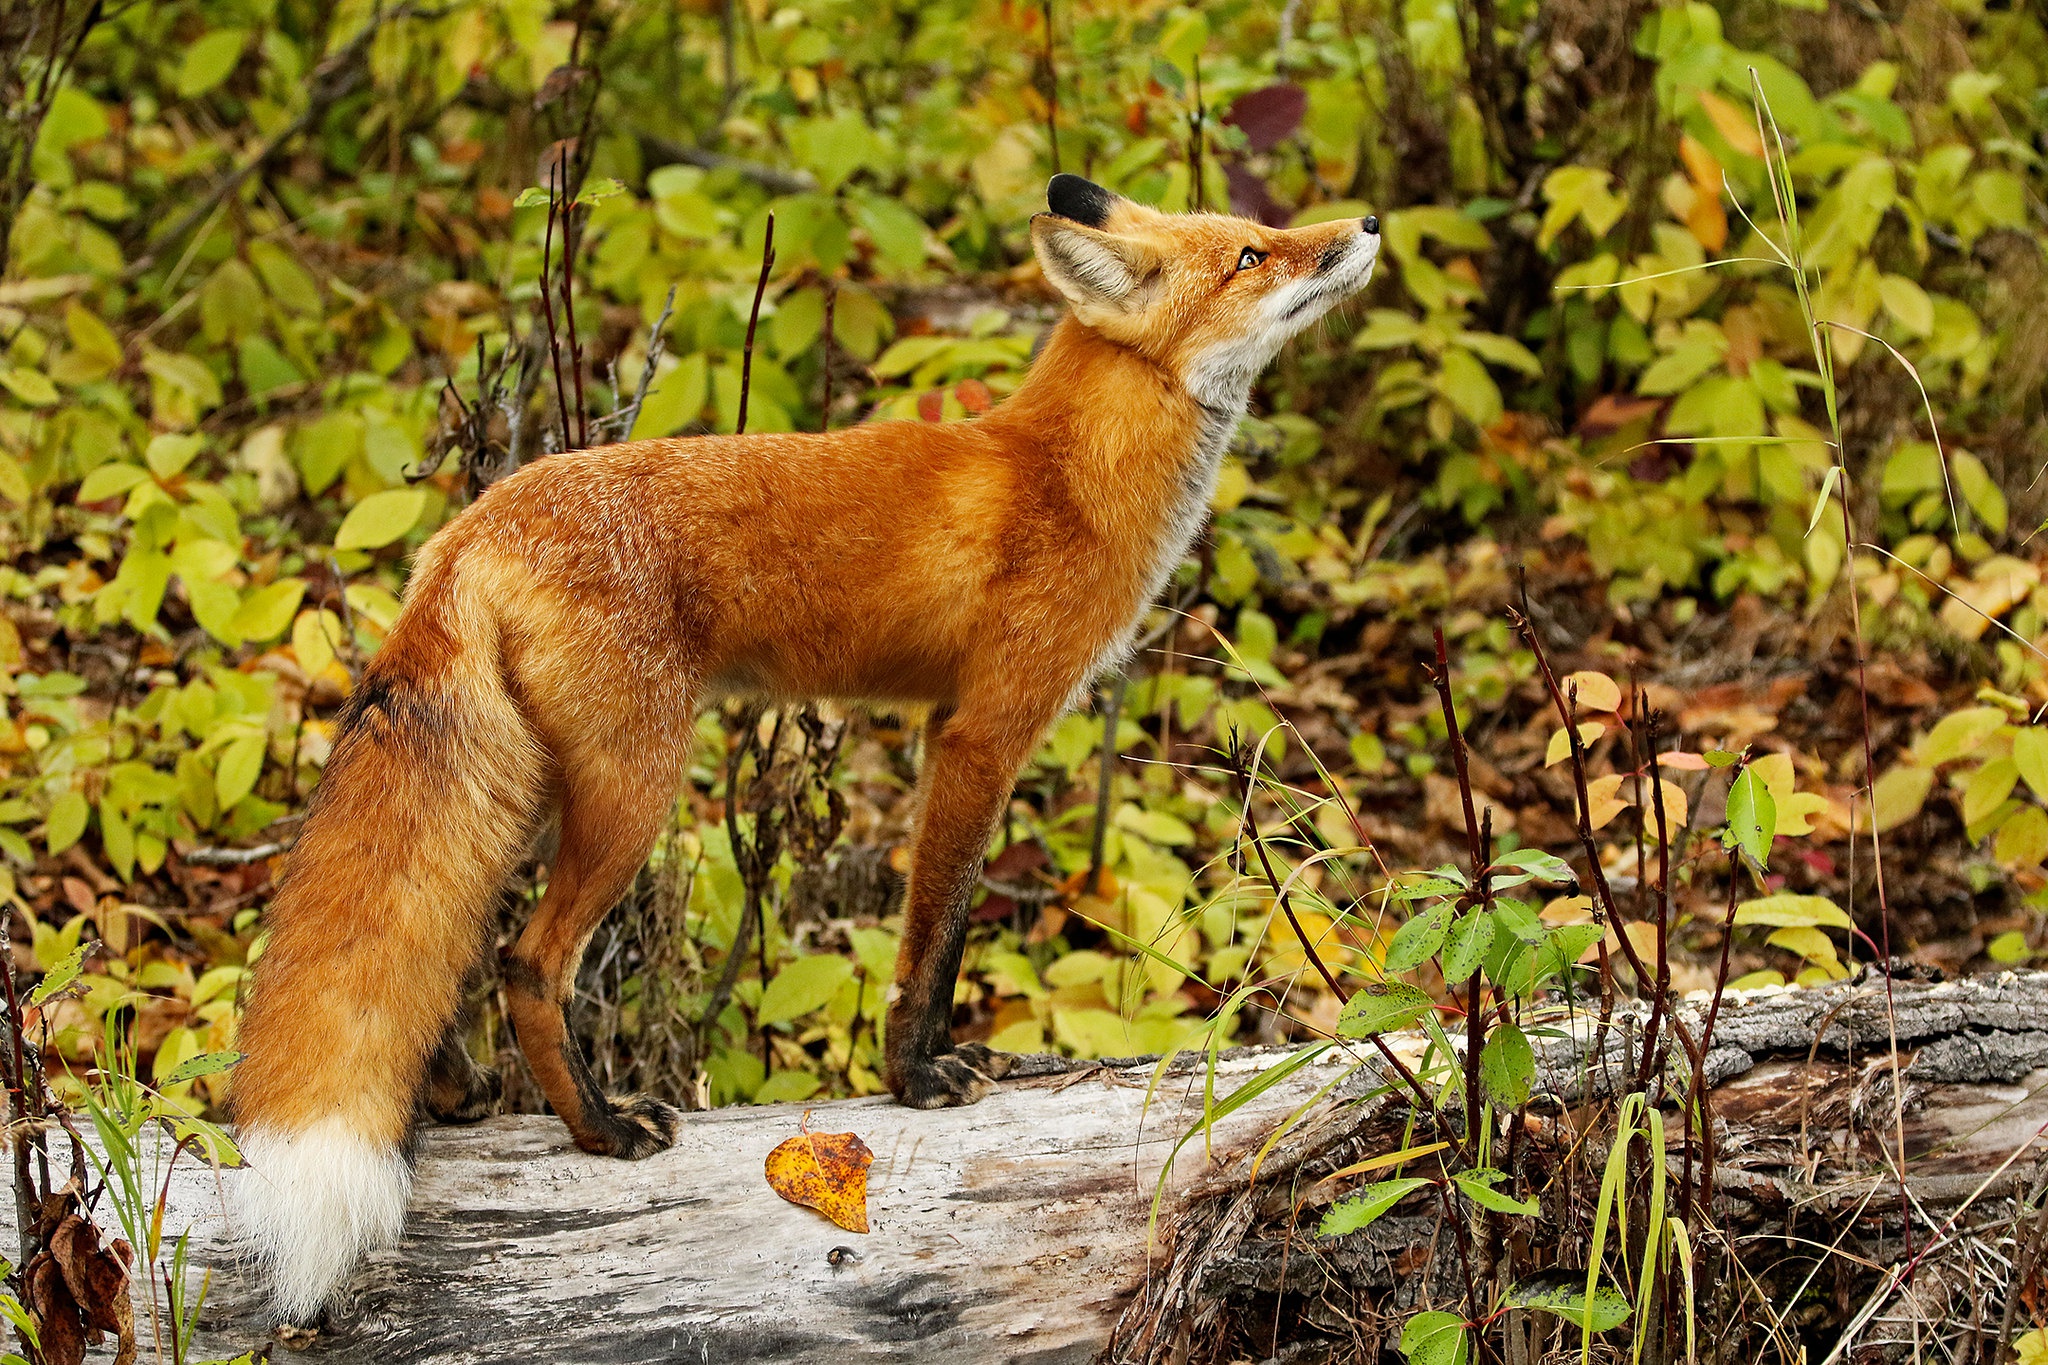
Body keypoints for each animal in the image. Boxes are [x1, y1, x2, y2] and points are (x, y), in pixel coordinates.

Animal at [232, 173, 1384, 1326]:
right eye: (1250, 256)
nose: (1369, 224)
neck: (1061, 476)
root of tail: (471, 524)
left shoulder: (937, 727)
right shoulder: (982, 734)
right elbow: (936, 935)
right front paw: (915, 1077)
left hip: (525, 792)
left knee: (452, 940)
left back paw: (453, 1092)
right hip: (631, 792)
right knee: (527, 961)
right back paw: (601, 1128)